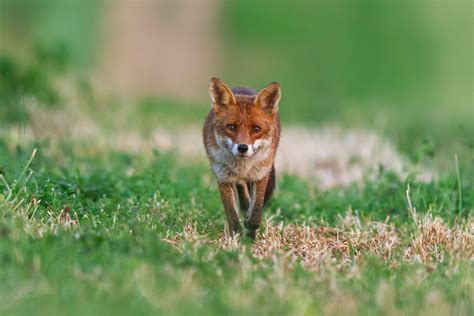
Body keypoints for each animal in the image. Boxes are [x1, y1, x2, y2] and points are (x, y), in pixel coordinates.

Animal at [201, 77, 282, 239]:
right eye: (231, 127)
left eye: (256, 129)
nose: (242, 147)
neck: (243, 166)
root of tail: (242, 87)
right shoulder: (223, 177)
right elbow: (232, 214)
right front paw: (236, 237)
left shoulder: (261, 174)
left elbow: (257, 210)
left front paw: (251, 230)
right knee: (242, 189)